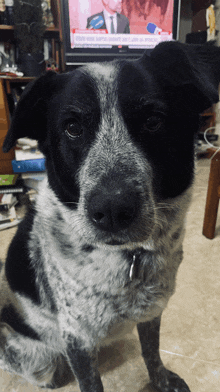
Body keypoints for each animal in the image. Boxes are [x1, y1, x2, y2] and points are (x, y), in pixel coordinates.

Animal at [0, 41, 220, 390]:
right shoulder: (77, 339)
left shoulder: (151, 311)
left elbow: (151, 350)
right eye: (72, 127)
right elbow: (92, 381)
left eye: (153, 121)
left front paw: (160, 380)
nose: (113, 210)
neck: (129, 258)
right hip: (41, 361)